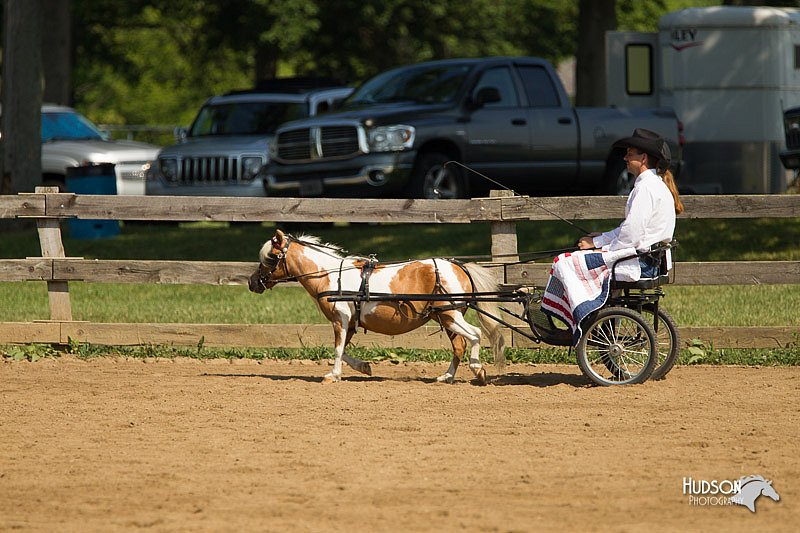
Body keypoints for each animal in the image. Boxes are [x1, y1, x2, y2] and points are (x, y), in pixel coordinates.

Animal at [247, 229, 504, 382]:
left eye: (270, 257)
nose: (252, 282)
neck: (329, 275)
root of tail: (459, 266)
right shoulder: (350, 322)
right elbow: (345, 350)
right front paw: (364, 367)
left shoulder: (340, 319)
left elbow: (338, 349)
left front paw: (333, 375)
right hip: (444, 316)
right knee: (459, 345)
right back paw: (447, 376)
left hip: (451, 314)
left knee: (475, 334)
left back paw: (477, 369)